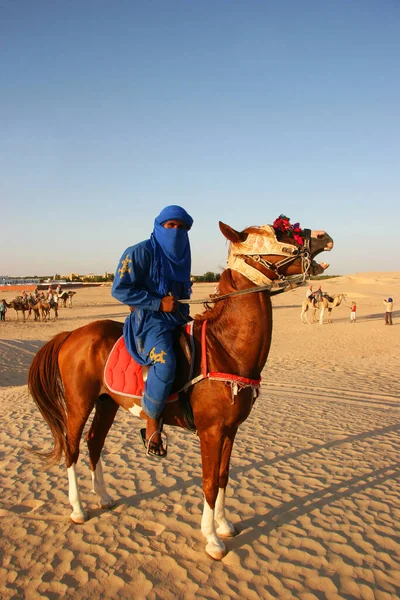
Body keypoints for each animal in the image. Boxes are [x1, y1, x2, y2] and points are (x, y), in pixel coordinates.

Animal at [29, 220, 332, 556]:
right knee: (72, 448)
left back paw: (104, 497)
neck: (224, 347)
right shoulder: (210, 431)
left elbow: (223, 477)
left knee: (94, 442)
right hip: (79, 403)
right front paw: (212, 539)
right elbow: (209, 482)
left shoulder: (231, 430)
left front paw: (224, 525)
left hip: (106, 402)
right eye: (280, 231)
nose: (322, 236)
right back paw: (78, 509)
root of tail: (71, 334)